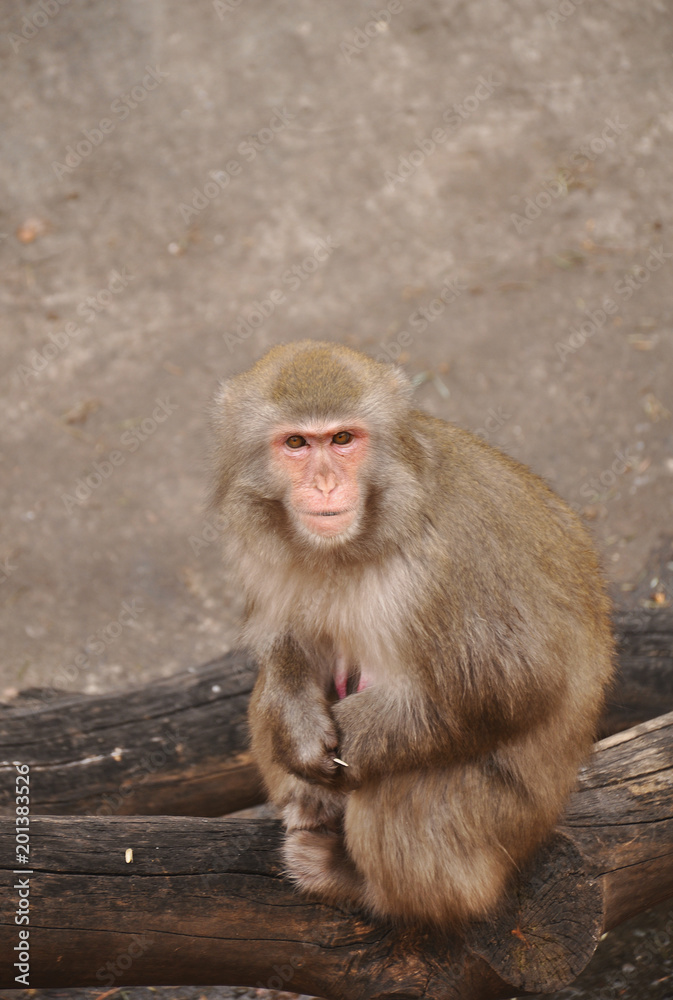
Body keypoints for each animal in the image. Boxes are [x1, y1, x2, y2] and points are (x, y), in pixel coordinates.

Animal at [210, 340, 614, 927]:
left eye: (343, 439)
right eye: (296, 443)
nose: (325, 483)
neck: (362, 537)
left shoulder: (447, 560)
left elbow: (514, 683)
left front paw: (357, 732)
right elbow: (291, 643)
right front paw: (298, 727)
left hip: (505, 825)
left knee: (403, 785)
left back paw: (363, 886)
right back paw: (310, 804)